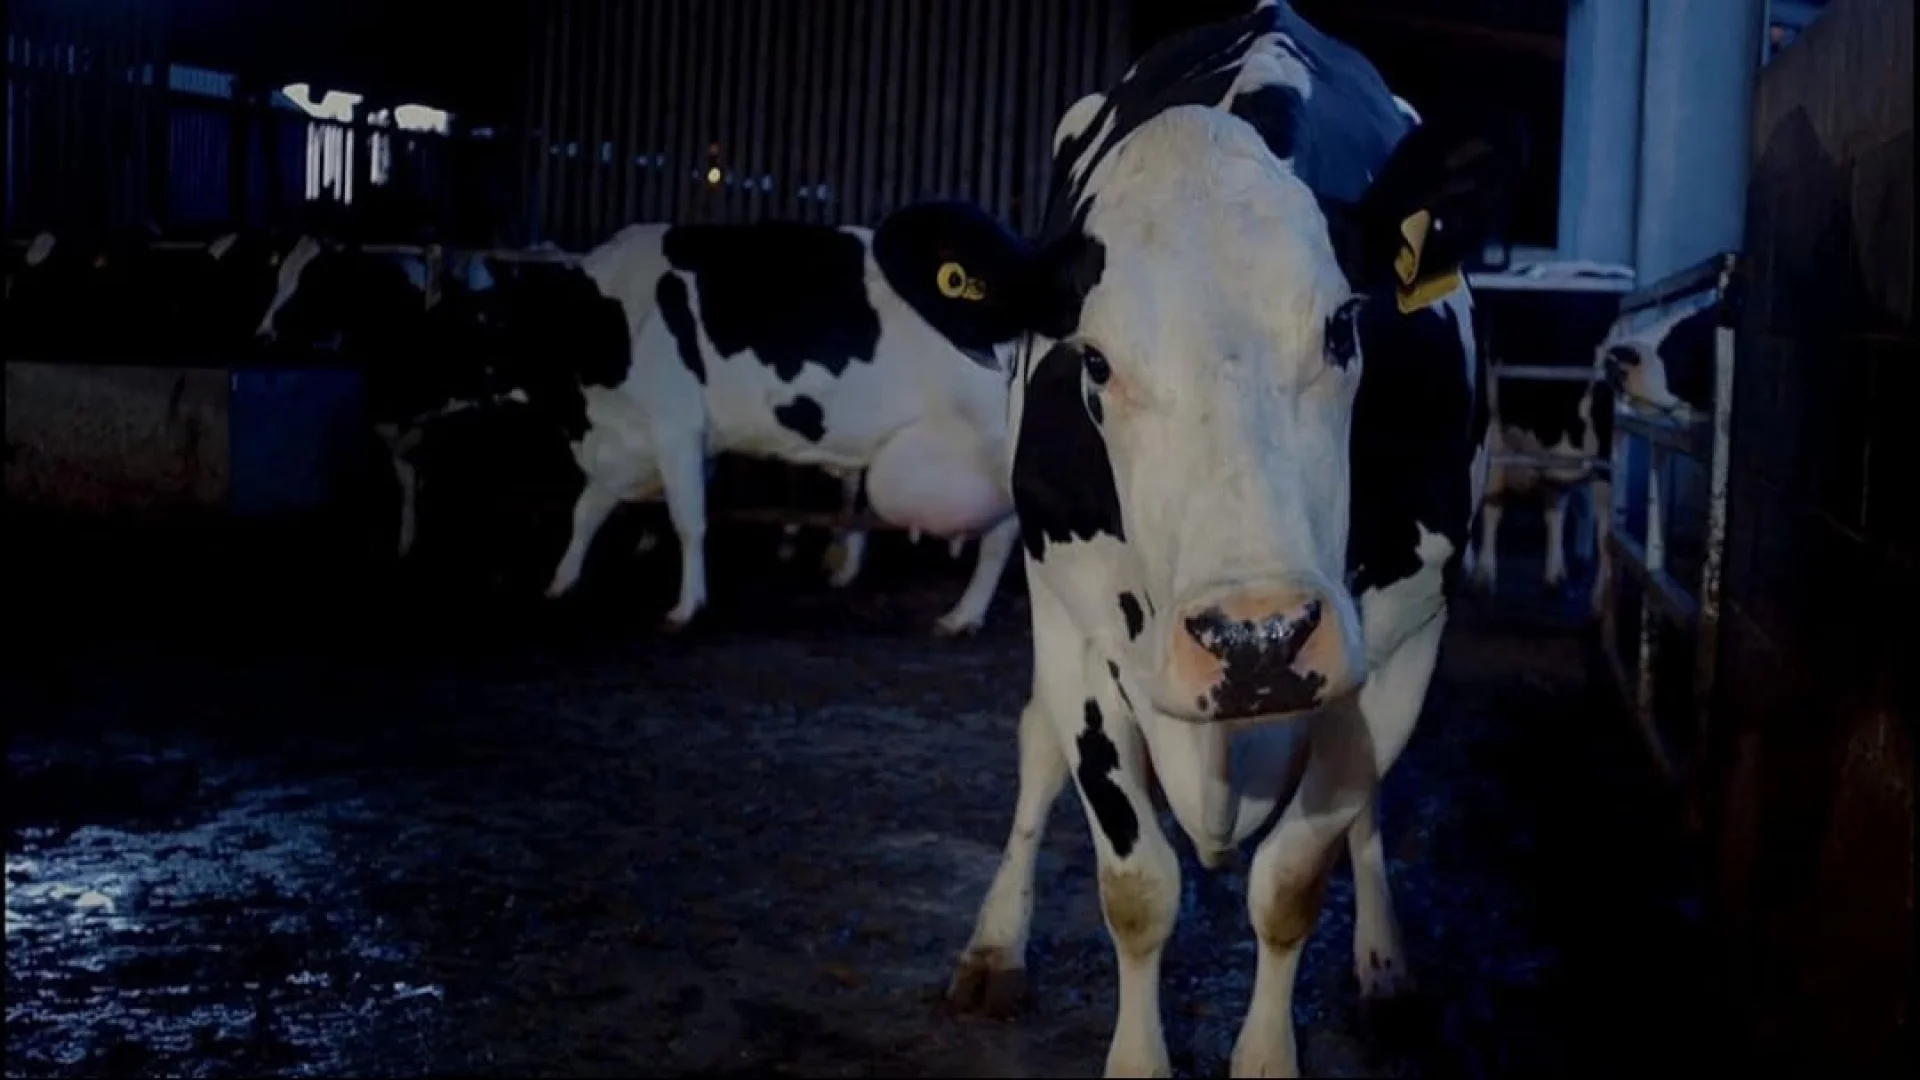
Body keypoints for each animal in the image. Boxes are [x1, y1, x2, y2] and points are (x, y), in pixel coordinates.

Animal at [492, 220, 1023, 636]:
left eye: (484, 320)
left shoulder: (677, 427)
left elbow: (688, 521)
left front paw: (687, 608)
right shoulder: (628, 443)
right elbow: (586, 510)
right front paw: (560, 581)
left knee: (1000, 539)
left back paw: (962, 617)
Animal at [868, 2, 1516, 1075]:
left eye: (1343, 327)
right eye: (1094, 359)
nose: (1256, 638)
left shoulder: (1404, 637)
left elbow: (1294, 879)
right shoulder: (1084, 627)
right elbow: (1138, 889)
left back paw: (1385, 971)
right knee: (1036, 745)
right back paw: (995, 946)